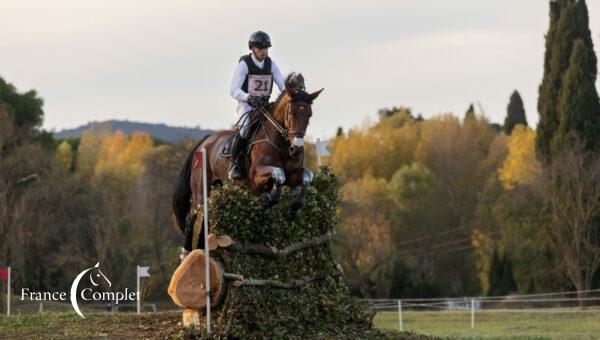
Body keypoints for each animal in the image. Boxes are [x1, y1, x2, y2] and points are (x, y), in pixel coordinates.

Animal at [173, 73, 324, 254]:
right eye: (291, 113)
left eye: (309, 115)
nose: (297, 149)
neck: (281, 142)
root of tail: (205, 142)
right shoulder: (256, 175)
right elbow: (279, 174)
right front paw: (269, 198)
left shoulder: (293, 176)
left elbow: (307, 177)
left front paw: (292, 208)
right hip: (201, 190)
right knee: (192, 216)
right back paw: (186, 252)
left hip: (216, 187)